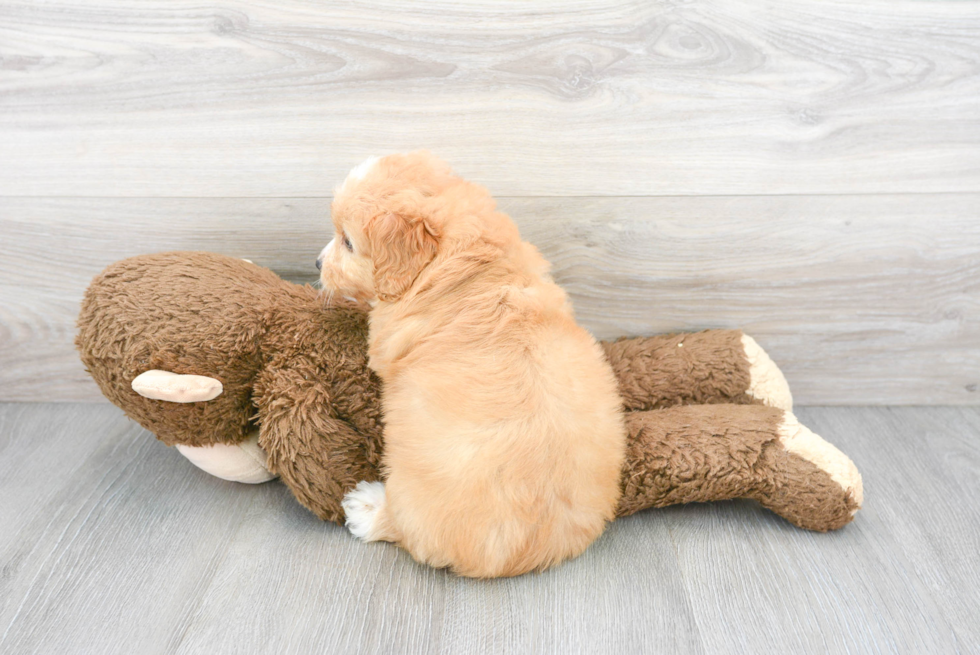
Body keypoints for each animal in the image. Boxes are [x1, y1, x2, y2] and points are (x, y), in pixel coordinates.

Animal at [322, 151, 628, 576]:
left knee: (401, 527)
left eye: (348, 242)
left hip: (409, 489)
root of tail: (525, 554)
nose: (316, 263)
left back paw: (366, 507)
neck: (471, 263)